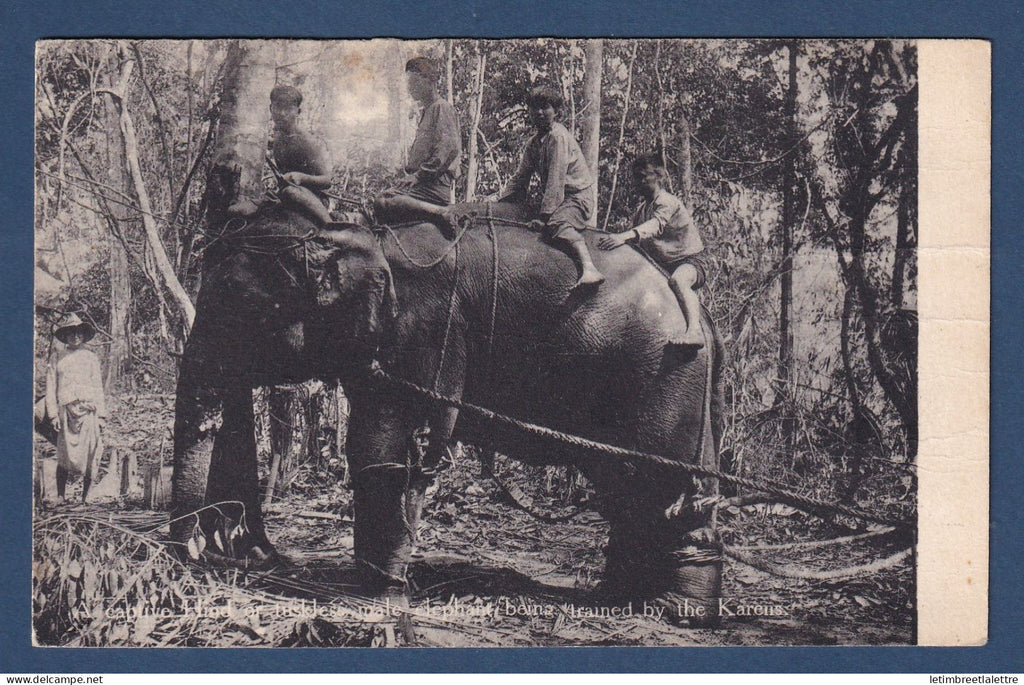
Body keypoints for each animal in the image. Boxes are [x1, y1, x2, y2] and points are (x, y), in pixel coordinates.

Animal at [171, 200, 725, 623]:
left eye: (236, 308)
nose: (193, 561)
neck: (354, 235)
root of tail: (696, 305)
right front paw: (380, 584)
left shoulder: (424, 333)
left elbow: (379, 448)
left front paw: (381, 594)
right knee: (630, 488)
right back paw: (619, 598)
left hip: (662, 375)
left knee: (657, 486)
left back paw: (675, 611)